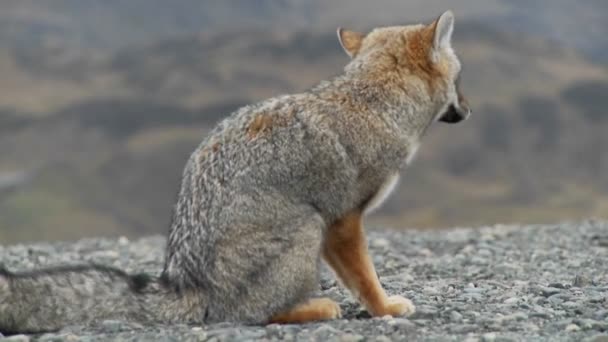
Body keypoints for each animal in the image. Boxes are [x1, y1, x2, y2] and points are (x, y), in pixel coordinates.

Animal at [0, 10, 470, 334]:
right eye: (461, 80)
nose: (468, 109)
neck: (374, 102)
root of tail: (187, 283)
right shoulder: (342, 219)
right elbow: (365, 278)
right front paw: (385, 309)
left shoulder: (341, 224)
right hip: (306, 226)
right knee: (253, 315)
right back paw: (315, 307)